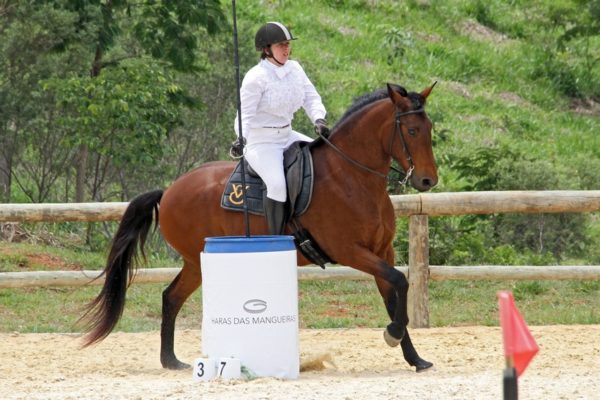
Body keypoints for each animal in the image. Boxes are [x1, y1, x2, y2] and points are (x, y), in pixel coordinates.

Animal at [82, 83, 438, 374]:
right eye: (411, 130)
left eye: (429, 127)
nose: (427, 181)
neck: (350, 176)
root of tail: (169, 190)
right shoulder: (351, 251)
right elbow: (400, 281)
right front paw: (393, 334)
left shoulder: (382, 251)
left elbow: (394, 294)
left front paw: (415, 358)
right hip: (199, 259)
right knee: (173, 297)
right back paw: (173, 360)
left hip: (195, 263)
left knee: (171, 297)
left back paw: (171, 361)